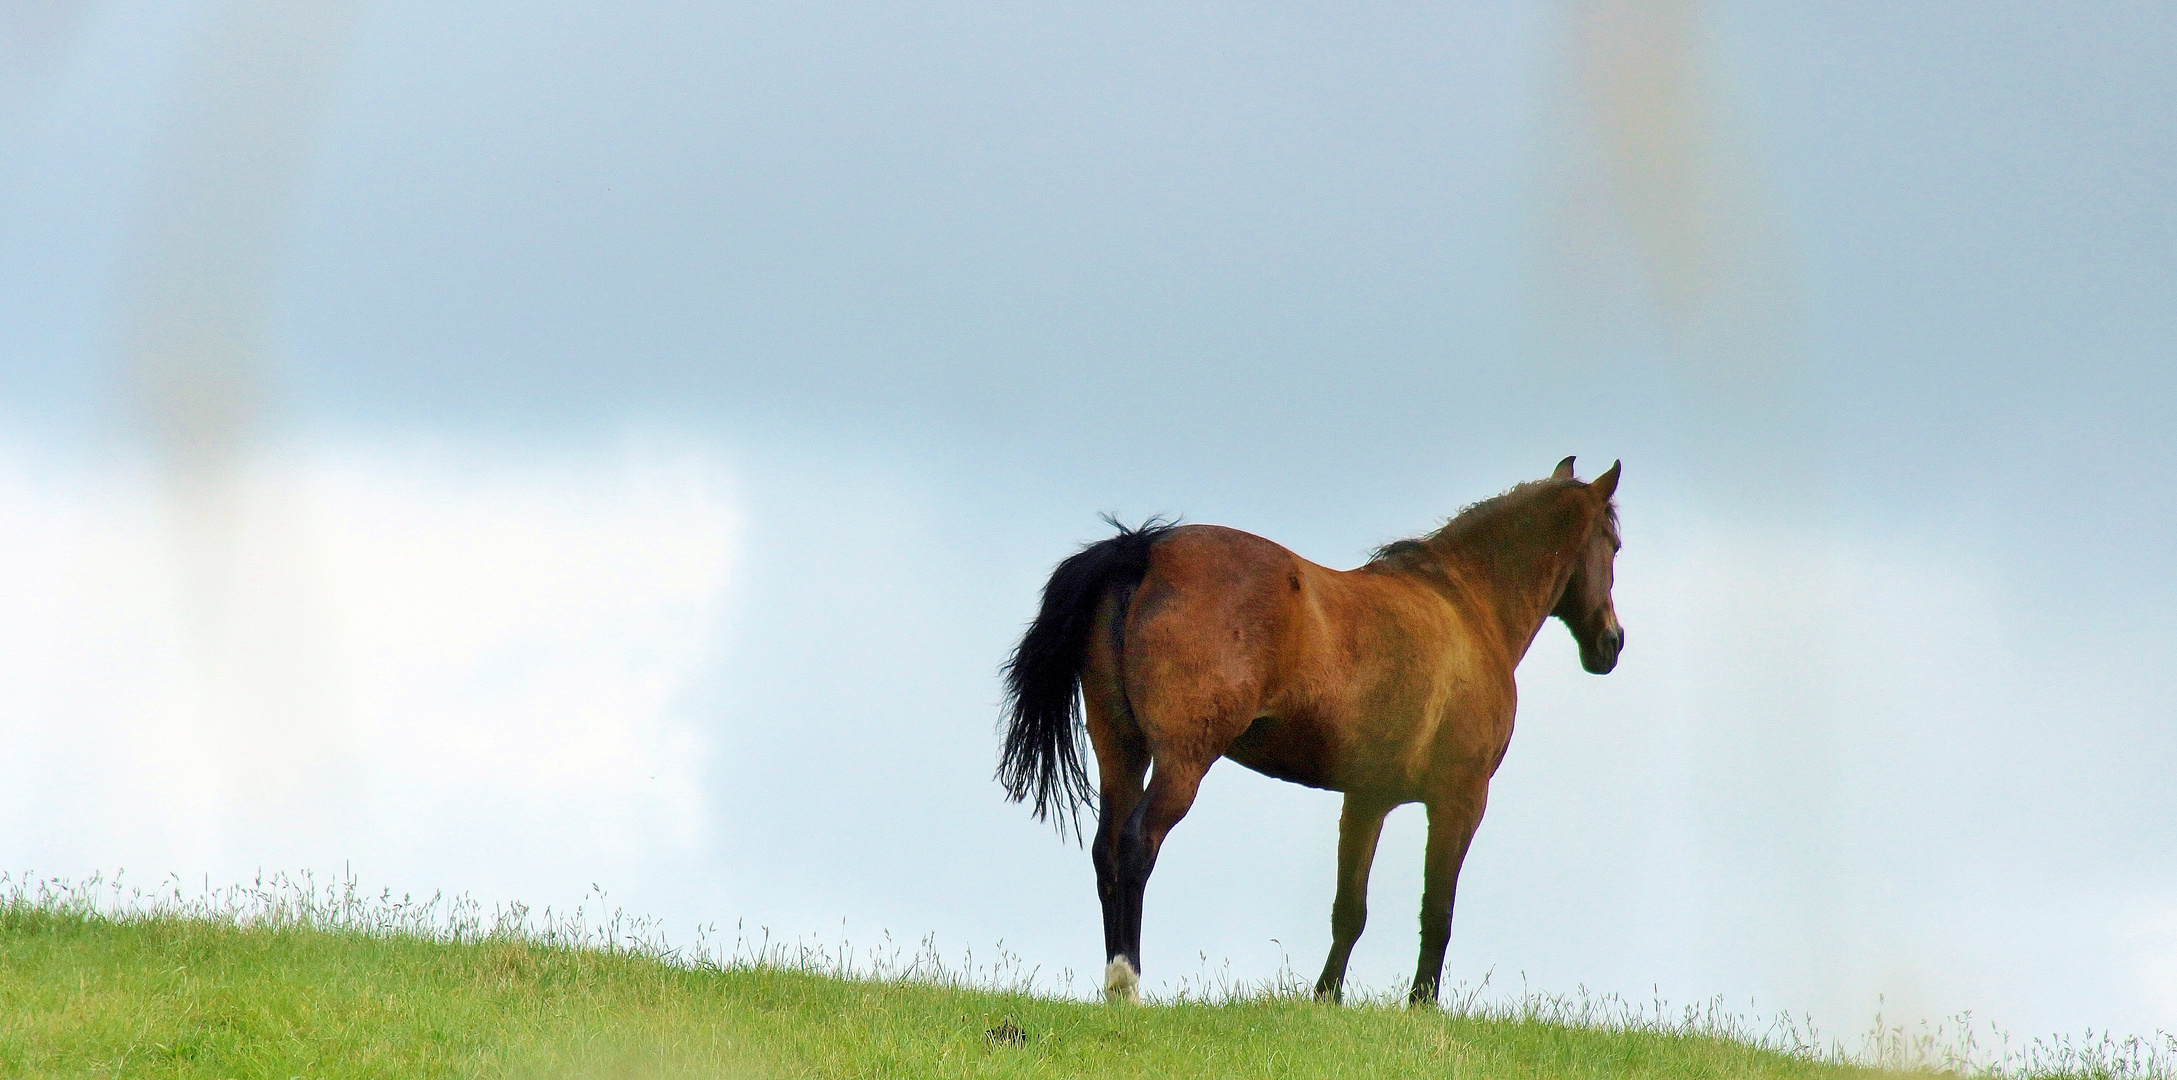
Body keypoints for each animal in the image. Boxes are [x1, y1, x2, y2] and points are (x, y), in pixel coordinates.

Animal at [997, 455, 1628, 1005]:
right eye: (1614, 543)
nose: (1612, 642)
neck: (1465, 605)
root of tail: (1144, 549)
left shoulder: (1367, 798)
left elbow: (1349, 909)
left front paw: (1325, 999)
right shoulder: (1461, 799)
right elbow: (1437, 911)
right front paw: (1421, 1005)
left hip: (1121, 752)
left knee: (1106, 849)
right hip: (1181, 762)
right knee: (1135, 845)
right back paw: (1127, 984)